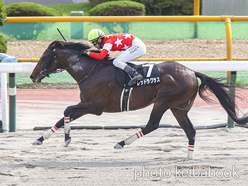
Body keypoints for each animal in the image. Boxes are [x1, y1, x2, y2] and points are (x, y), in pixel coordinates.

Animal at [30, 40, 247, 158]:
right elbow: (63, 116)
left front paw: (67, 138)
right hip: (179, 107)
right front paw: (40, 139)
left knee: (152, 124)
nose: (32, 76)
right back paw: (189, 157)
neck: (90, 70)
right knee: (191, 131)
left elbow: (67, 110)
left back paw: (121, 142)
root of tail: (192, 72)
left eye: (44, 57)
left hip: (163, 101)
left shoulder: (94, 106)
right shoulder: (86, 105)